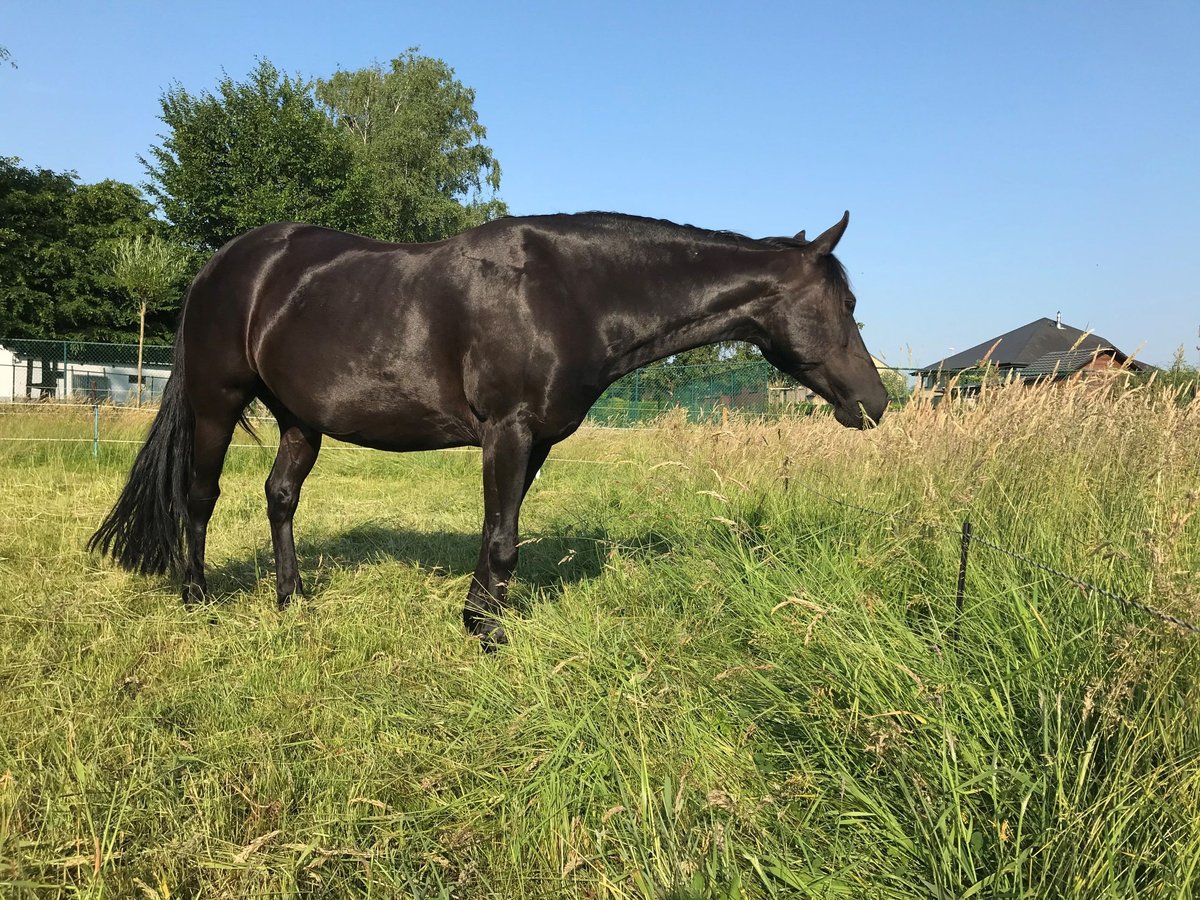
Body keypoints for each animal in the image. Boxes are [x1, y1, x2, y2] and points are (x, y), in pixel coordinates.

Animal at [89, 210, 888, 649]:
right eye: (845, 304)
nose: (876, 402)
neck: (570, 293)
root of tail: (221, 266)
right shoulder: (508, 430)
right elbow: (502, 537)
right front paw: (490, 636)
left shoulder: (534, 442)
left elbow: (498, 533)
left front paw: (478, 616)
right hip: (218, 401)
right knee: (200, 496)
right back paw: (197, 598)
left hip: (299, 420)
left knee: (280, 496)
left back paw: (291, 599)